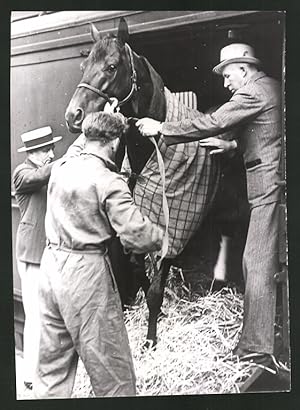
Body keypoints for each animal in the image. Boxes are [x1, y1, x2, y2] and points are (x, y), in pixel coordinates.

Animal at [65, 19, 223, 346]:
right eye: (84, 65)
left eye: (112, 66)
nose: (73, 116)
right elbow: (140, 272)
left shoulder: (171, 229)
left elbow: (154, 290)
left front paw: (151, 339)